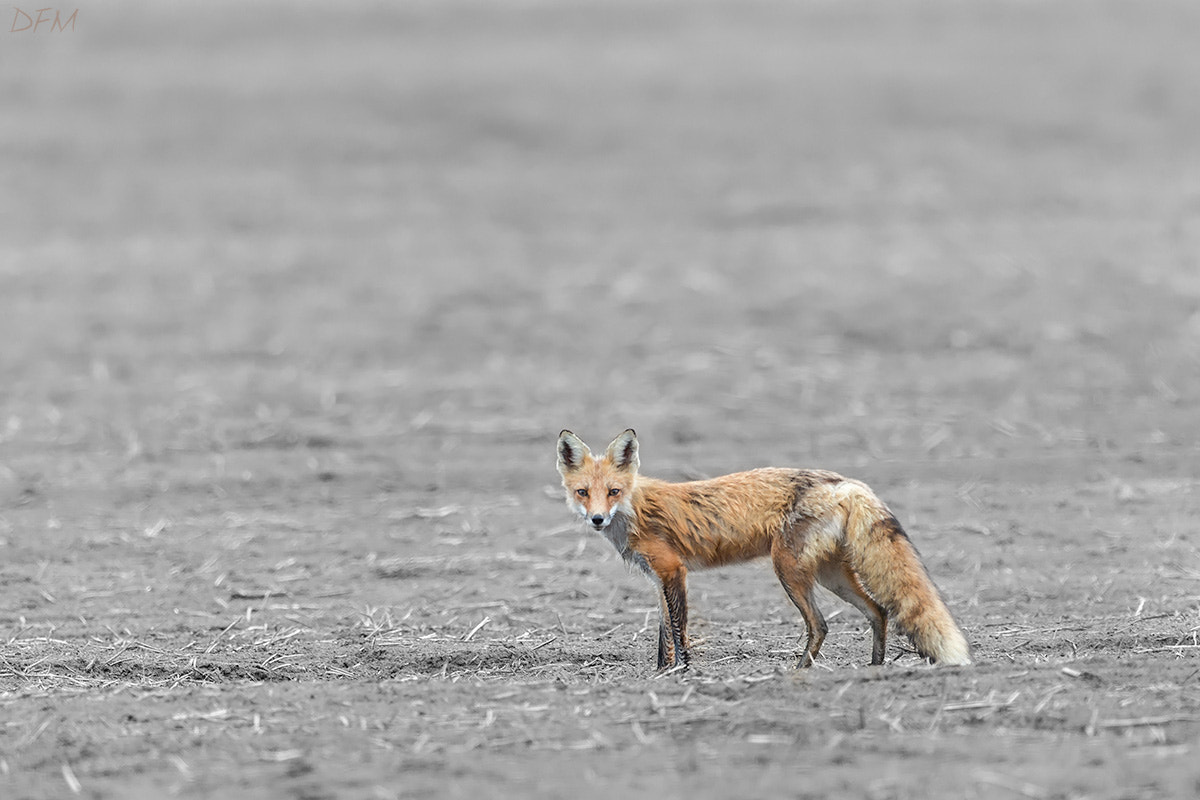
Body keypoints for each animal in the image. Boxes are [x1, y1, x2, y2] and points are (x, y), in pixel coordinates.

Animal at [556, 428, 971, 671]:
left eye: (613, 491)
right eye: (583, 492)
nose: (597, 519)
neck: (634, 510)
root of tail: (844, 481)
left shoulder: (674, 571)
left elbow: (678, 631)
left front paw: (684, 674)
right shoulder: (659, 577)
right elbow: (663, 636)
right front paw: (660, 674)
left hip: (788, 568)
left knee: (820, 625)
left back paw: (798, 672)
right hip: (831, 575)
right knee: (878, 612)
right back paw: (874, 669)